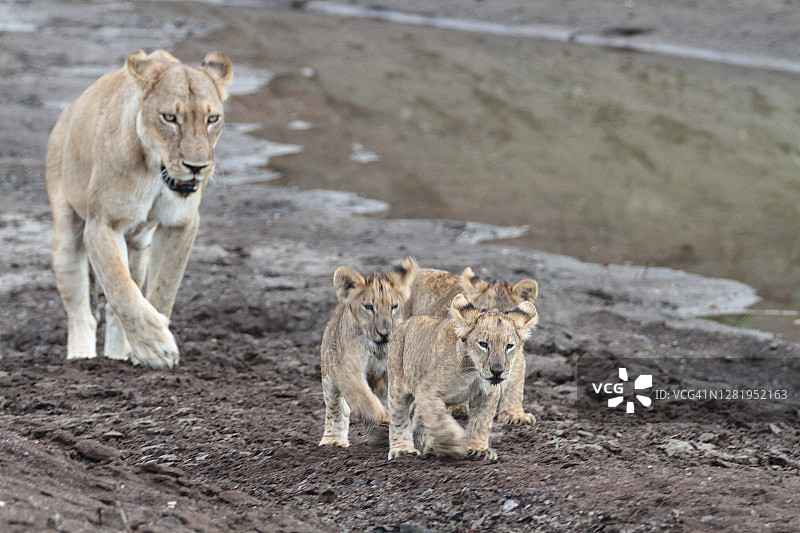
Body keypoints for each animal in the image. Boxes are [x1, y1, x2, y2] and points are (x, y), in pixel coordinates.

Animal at [45, 50, 231, 368]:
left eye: (212, 118)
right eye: (169, 118)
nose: (196, 167)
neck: (156, 172)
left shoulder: (180, 223)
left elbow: (164, 287)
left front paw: (148, 346)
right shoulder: (102, 225)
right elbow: (120, 287)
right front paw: (156, 346)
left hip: (138, 249)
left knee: (118, 301)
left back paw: (119, 354)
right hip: (67, 236)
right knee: (82, 311)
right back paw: (81, 357)